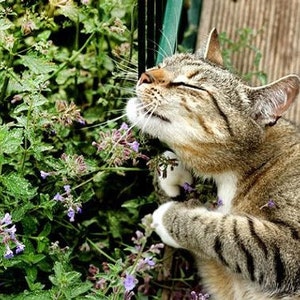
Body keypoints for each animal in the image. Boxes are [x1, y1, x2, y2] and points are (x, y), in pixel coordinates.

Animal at [126, 28, 300, 300]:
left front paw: (167, 217)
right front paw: (173, 172)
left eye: (189, 85)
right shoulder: (223, 283)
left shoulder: (288, 246)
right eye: (162, 65)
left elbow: (228, 233)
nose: (145, 74)